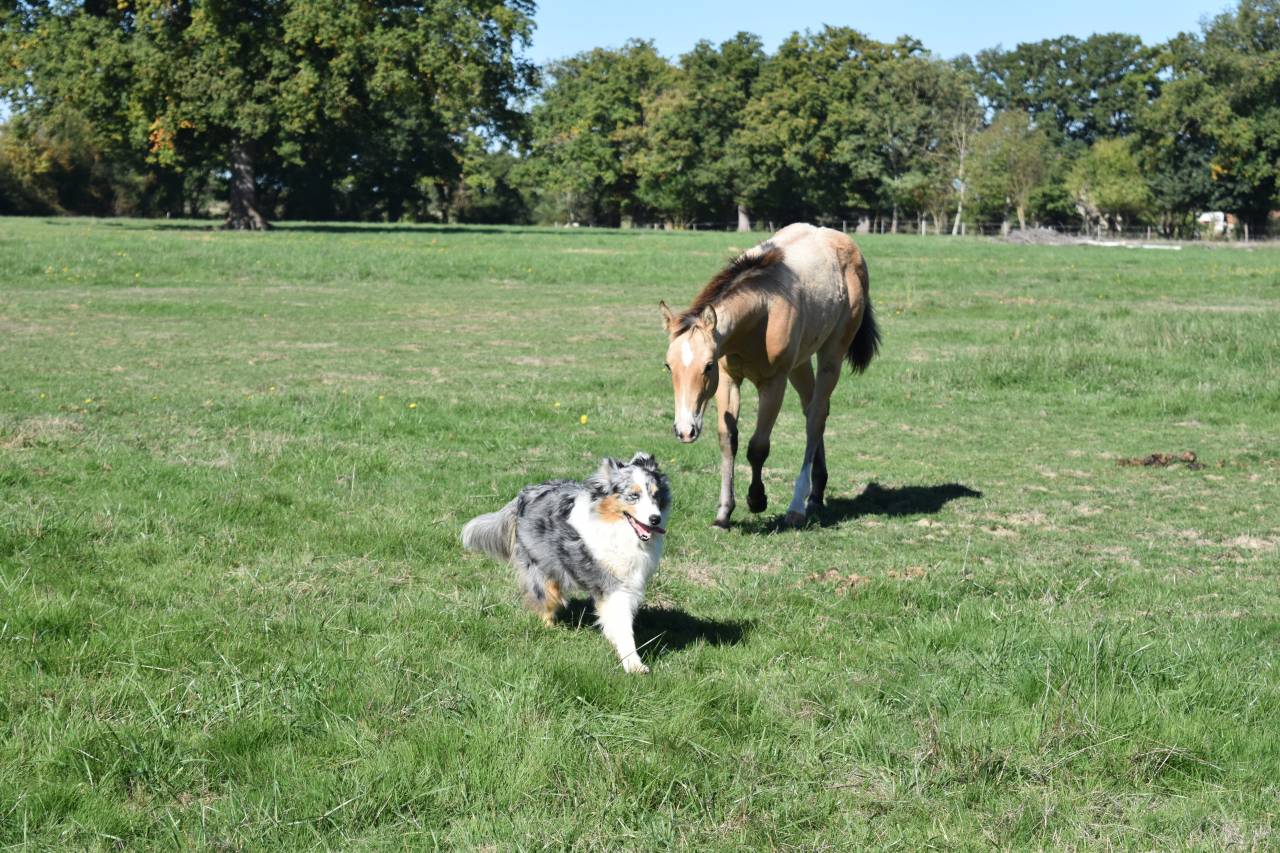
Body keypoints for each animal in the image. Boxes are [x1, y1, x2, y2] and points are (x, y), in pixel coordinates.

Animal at [659, 223, 879, 528]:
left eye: (707, 366)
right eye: (669, 366)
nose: (685, 430)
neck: (763, 308)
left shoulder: (773, 383)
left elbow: (758, 447)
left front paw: (757, 499)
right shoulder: (729, 381)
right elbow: (728, 440)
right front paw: (723, 513)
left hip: (831, 357)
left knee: (815, 418)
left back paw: (797, 506)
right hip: (800, 363)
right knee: (813, 408)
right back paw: (816, 493)